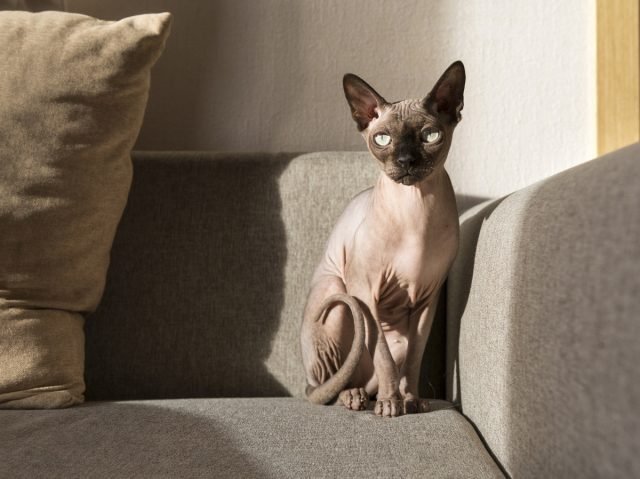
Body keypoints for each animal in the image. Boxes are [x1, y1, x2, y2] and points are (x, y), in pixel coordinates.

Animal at [300, 62, 464, 418]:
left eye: (430, 136)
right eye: (383, 139)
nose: (406, 162)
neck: (416, 210)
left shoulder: (427, 298)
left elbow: (413, 360)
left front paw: (411, 399)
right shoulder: (365, 290)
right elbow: (383, 356)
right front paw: (391, 404)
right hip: (336, 291)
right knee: (328, 385)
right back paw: (355, 396)